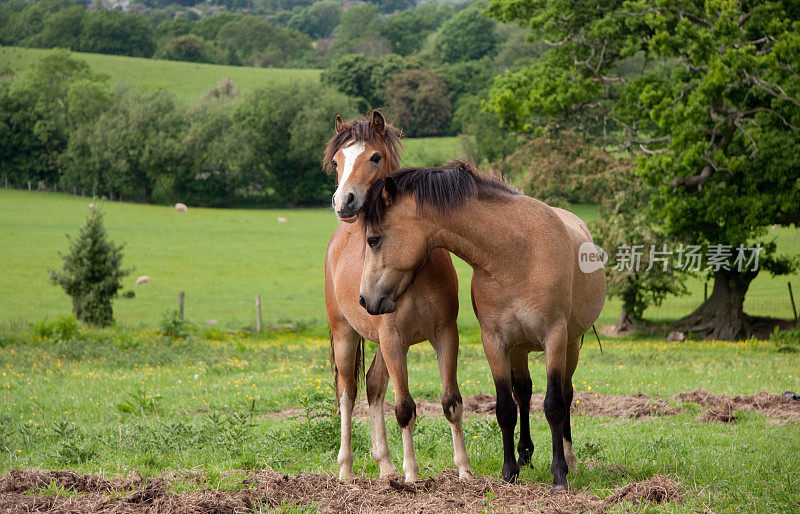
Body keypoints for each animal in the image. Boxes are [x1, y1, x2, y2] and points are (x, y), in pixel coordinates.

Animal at [324, 111, 472, 480]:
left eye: (375, 157)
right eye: (336, 161)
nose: (343, 201)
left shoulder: (444, 334)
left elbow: (451, 402)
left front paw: (464, 471)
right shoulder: (394, 338)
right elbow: (404, 408)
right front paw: (412, 476)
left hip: (381, 345)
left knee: (373, 386)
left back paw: (386, 466)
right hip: (346, 335)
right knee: (348, 393)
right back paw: (346, 470)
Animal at [360, 161, 604, 488]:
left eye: (373, 240)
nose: (365, 299)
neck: (516, 255)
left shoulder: (555, 336)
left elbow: (554, 405)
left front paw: (559, 474)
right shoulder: (494, 341)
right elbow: (505, 408)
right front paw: (509, 472)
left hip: (572, 345)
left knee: (565, 394)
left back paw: (571, 460)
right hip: (519, 349)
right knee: (523, 393)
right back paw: (525, 455)